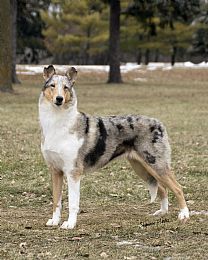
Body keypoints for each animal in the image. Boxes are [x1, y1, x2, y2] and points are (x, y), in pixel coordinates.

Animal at [39, 65, 190, 230]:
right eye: (52, 86)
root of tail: (159, 123)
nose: (59, 99)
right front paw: (54, 221)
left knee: (177, 187)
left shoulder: (73, 172)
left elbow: (73, 203)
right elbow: (56, 201)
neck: (57, 122)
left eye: (66, 88)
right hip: (143, 168)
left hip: (156, 165)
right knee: (163, 189)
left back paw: (184, 215)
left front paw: (70, 224)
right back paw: (161, 212)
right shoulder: (55, 171)